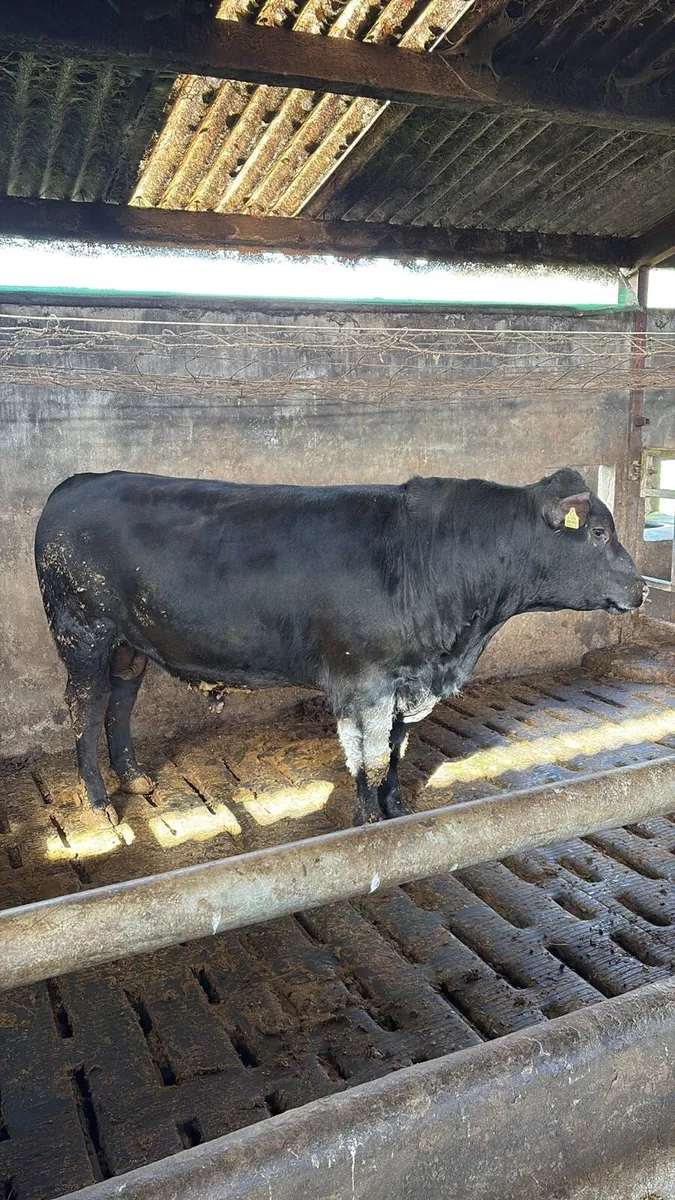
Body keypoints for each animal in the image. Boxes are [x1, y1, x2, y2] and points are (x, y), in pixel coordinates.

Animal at [34, 468, 646, 827]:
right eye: (598, 533)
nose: (641, 588)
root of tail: (73, 484)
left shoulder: (404, 682)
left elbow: (397, 751)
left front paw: (396, 805)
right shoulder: (363, 683)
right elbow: (368, 757)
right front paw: (368, 817)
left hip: (129, 643)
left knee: (120, 702)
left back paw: (134, 776)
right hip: (82, 632)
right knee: (84, 708)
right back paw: (100, 802)